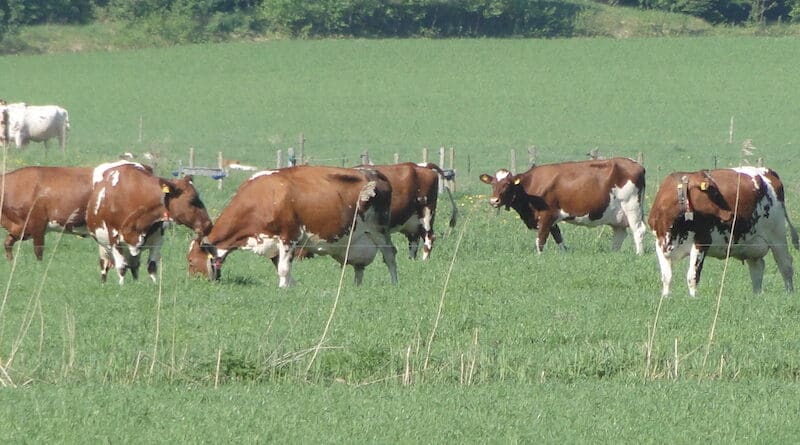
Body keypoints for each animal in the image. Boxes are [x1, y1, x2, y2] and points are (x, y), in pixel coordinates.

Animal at [187, 165, 399, 288]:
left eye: (189, 260)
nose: (194, 282)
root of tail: (374, 172)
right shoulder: (272, 241)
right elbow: (280, 265)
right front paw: (291, 286)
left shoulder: (289, 235)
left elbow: (283, 267)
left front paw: (283, 288)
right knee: (359, 266)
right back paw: (356, 286)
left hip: (379, 230)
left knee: (390, 254)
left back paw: (394, 283)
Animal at [479, 157, 647, 254]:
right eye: (493, 184)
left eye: (507, 184)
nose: (494, 201)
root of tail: (637, 165)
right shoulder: (552, 219)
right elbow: (558, 237)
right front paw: (564, 254)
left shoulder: (546, 215)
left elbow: (541, 239)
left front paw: (539, 258)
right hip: (617, 215)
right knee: (619, 234)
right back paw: (614, 254)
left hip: (632, 205)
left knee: (638, 230)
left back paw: (638, 254)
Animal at [648, 167, 799, 297]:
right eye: (714, 192)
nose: (732, 214)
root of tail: (767, 171)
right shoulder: (659, 243)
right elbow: (666, 276)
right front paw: (666, 297)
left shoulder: (702, 241)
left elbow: (692, 276)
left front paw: (692, 299)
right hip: (752, 242)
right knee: (757, 267)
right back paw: (756, 295)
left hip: (777, 234)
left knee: (785, 265)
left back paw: (789, 293)